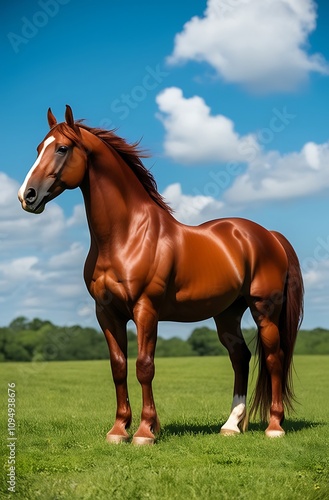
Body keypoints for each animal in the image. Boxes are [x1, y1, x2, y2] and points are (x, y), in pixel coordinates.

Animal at [18, 106, 302, 446]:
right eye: (38, 148)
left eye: (61, 148)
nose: (27, 196)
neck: (127, 235)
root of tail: (268, 235)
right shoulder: (107, 313)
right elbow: (118, 367)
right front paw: (118, 429)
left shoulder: (146, 309)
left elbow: (144, 366)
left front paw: (144, 431)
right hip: (227, 313)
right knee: (240, 357)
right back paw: (231, 425)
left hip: (264, 310)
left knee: (273, 358)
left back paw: (274, 426)